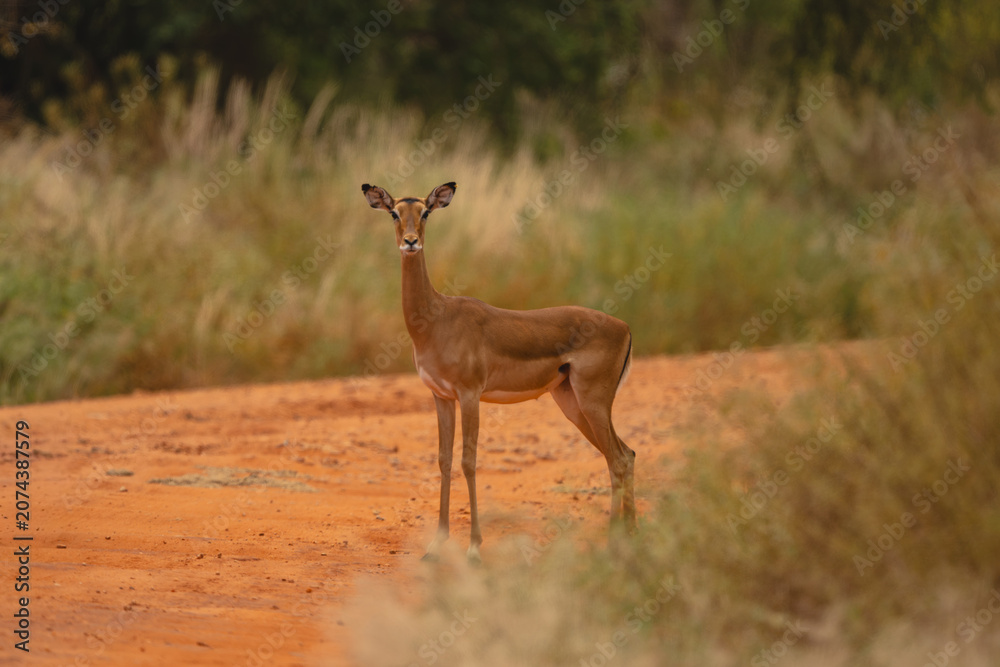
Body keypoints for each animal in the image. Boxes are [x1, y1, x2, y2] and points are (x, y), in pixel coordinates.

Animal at [362, 181, 635, 563]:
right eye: (393, 212)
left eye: (426, 212)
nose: (411, 241)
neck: (435, 319)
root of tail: (624, 327)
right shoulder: (441, 396)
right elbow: (444, 460)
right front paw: (435, 545)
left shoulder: (470, 394)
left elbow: (468, 461)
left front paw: (474, 548)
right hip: (571, 403)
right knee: (626, 454)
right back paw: (632, 538)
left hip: (592, 402)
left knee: (618, 460)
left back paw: (613, 544)